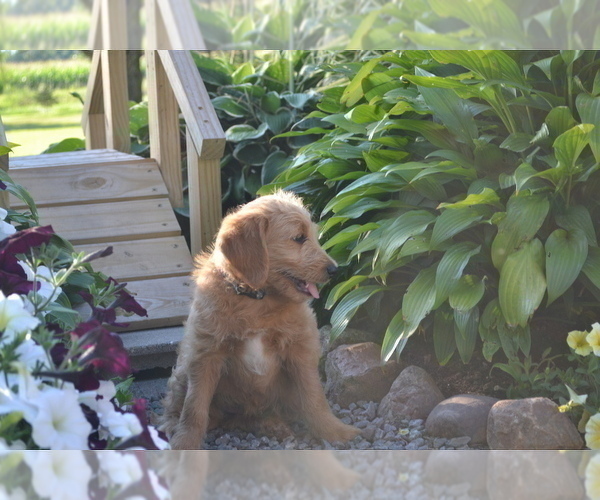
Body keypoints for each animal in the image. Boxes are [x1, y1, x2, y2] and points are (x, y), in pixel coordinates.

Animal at [161, 189, 360, 448]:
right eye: (299, 238)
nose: (335, 270)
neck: (256, 300)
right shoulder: (205, 353)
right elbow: (194, 408)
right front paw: (185, 444)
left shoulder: (300, 349)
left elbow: (314, 397)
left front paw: (335, 431)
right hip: (183, 370)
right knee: (179, 407)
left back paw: (275, 426)